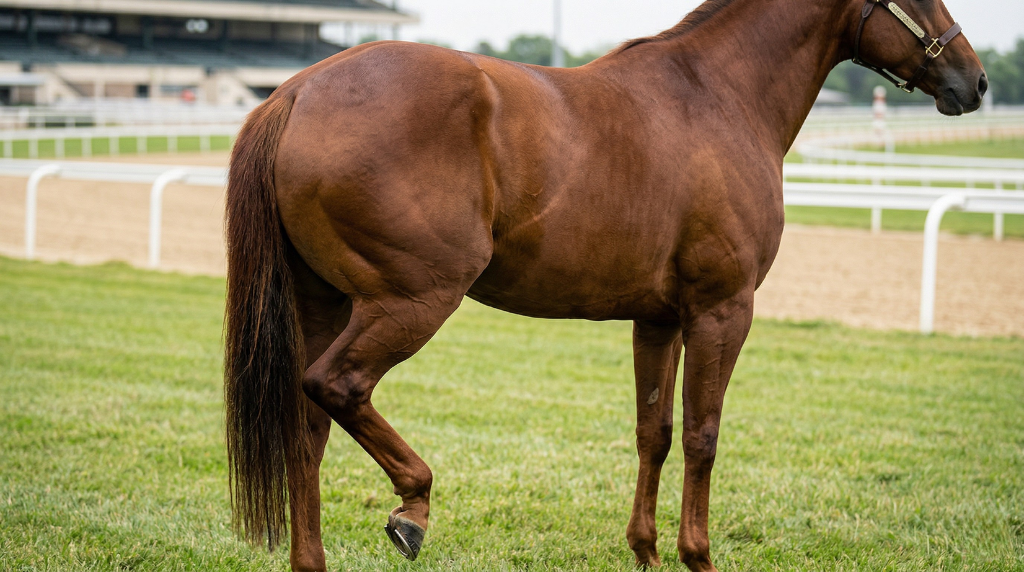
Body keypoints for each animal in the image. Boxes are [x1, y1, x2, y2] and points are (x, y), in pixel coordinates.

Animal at [222, 0, 985, 570]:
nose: (974, 83)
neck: (719, 96)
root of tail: (296, 92)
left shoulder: (660, 318)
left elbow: (655, 430)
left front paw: (645, 550)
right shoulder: (722, 310)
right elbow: (704, 434)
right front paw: (697, 555)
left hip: (326, 303)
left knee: (308, 427)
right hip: (411, 301)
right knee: (336, 387)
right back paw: (414, 505)